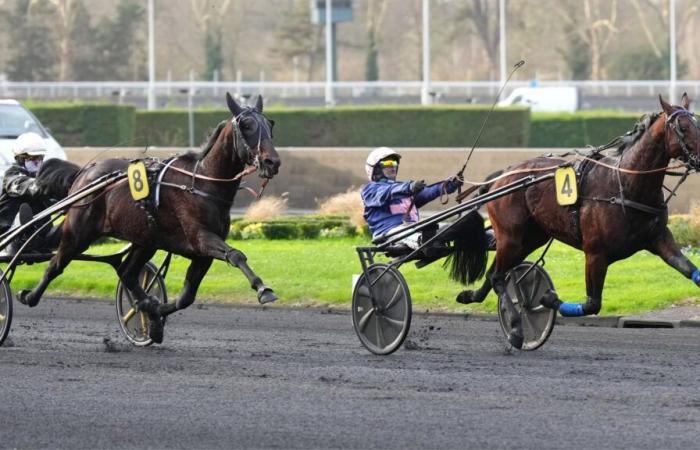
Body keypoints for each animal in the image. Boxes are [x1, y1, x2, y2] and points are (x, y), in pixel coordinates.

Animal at [17, 93, 278, 342]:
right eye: (246, 124)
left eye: (270, 123)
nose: (272, 161)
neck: (201, 182)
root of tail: (85, 172)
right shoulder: (200, 238)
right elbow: (235, 255)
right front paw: (263, 289)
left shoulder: (202, 254)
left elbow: (187, 296)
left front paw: (154, 312)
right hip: (79, 232)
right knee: (55, 264)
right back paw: (28, 296)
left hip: (145, 240)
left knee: (127, 273)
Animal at [456, 94, 700, 348]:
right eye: (682, 128)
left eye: (698, 124)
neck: (625, 185)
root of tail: (501, 176)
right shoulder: (595, 254)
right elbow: (592, 304)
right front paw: (547, 299)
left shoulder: (659, 238)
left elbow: (690, 270)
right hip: (511, 236)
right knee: (497, 276)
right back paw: (515, 328)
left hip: (529, 238)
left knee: (495, 273)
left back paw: (471, 296)